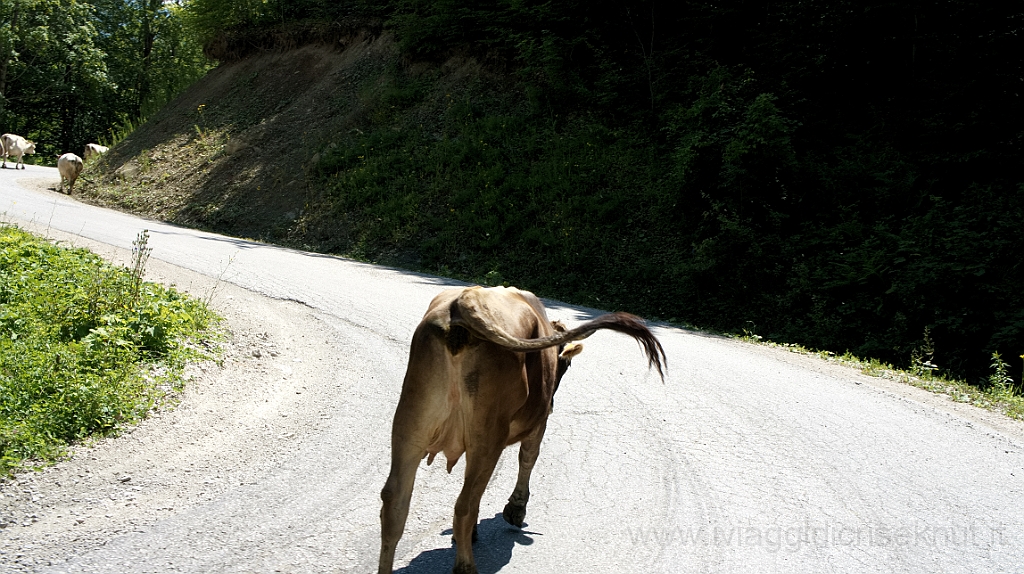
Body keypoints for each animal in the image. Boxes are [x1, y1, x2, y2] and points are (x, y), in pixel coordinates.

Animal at [378, 284, 663, 572]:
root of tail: (465, 300)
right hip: (487, 435)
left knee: (395, 504)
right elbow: (528, 458)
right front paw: (516, 509)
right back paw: (466, 565)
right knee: (463, 505)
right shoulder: (540, 421)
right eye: (566, 364)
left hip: (410, 425)